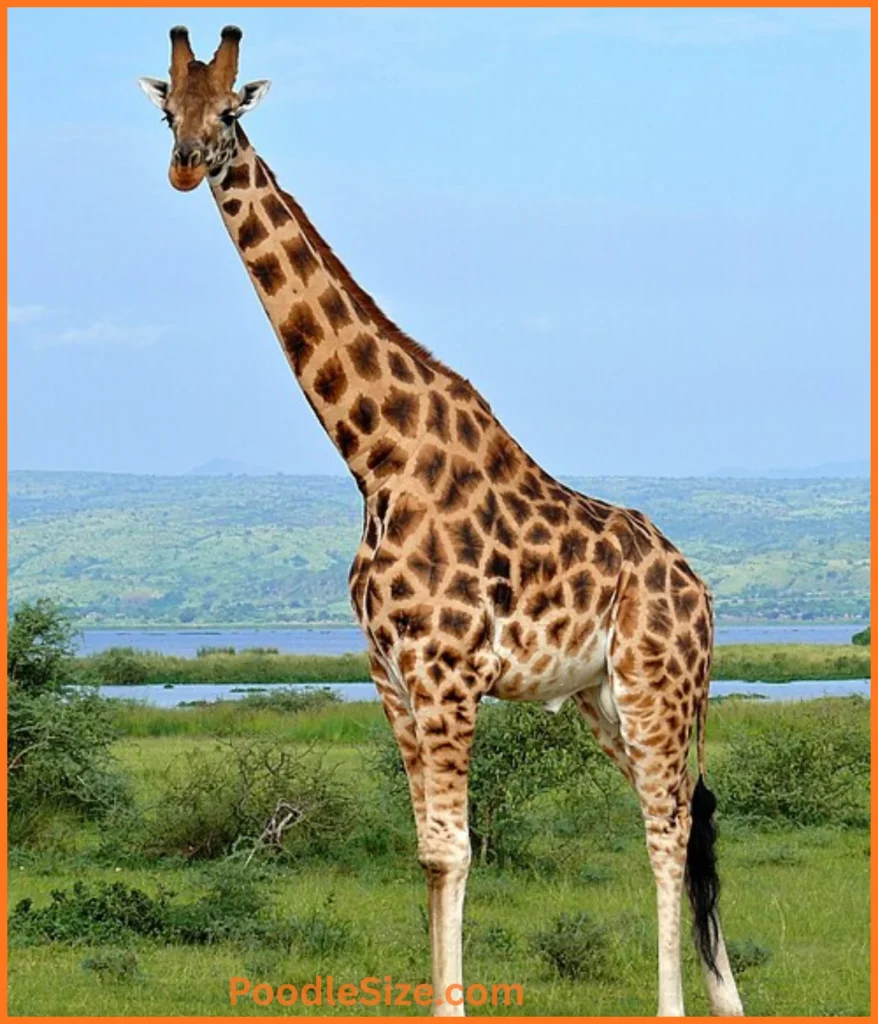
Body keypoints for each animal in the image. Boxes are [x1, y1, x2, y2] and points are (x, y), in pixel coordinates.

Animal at [139, 26, 744, 1017]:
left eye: (229, 111)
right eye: (168, 112)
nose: (187, 166)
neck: (373, 456)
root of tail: (702, 593)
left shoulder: (447, 672)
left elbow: (455, 851)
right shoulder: (389, 676)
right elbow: (426, 851)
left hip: (659, 685)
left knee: (667, 826)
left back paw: (675, 1005)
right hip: (603, 698)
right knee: (686, 817)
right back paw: (726, 996)